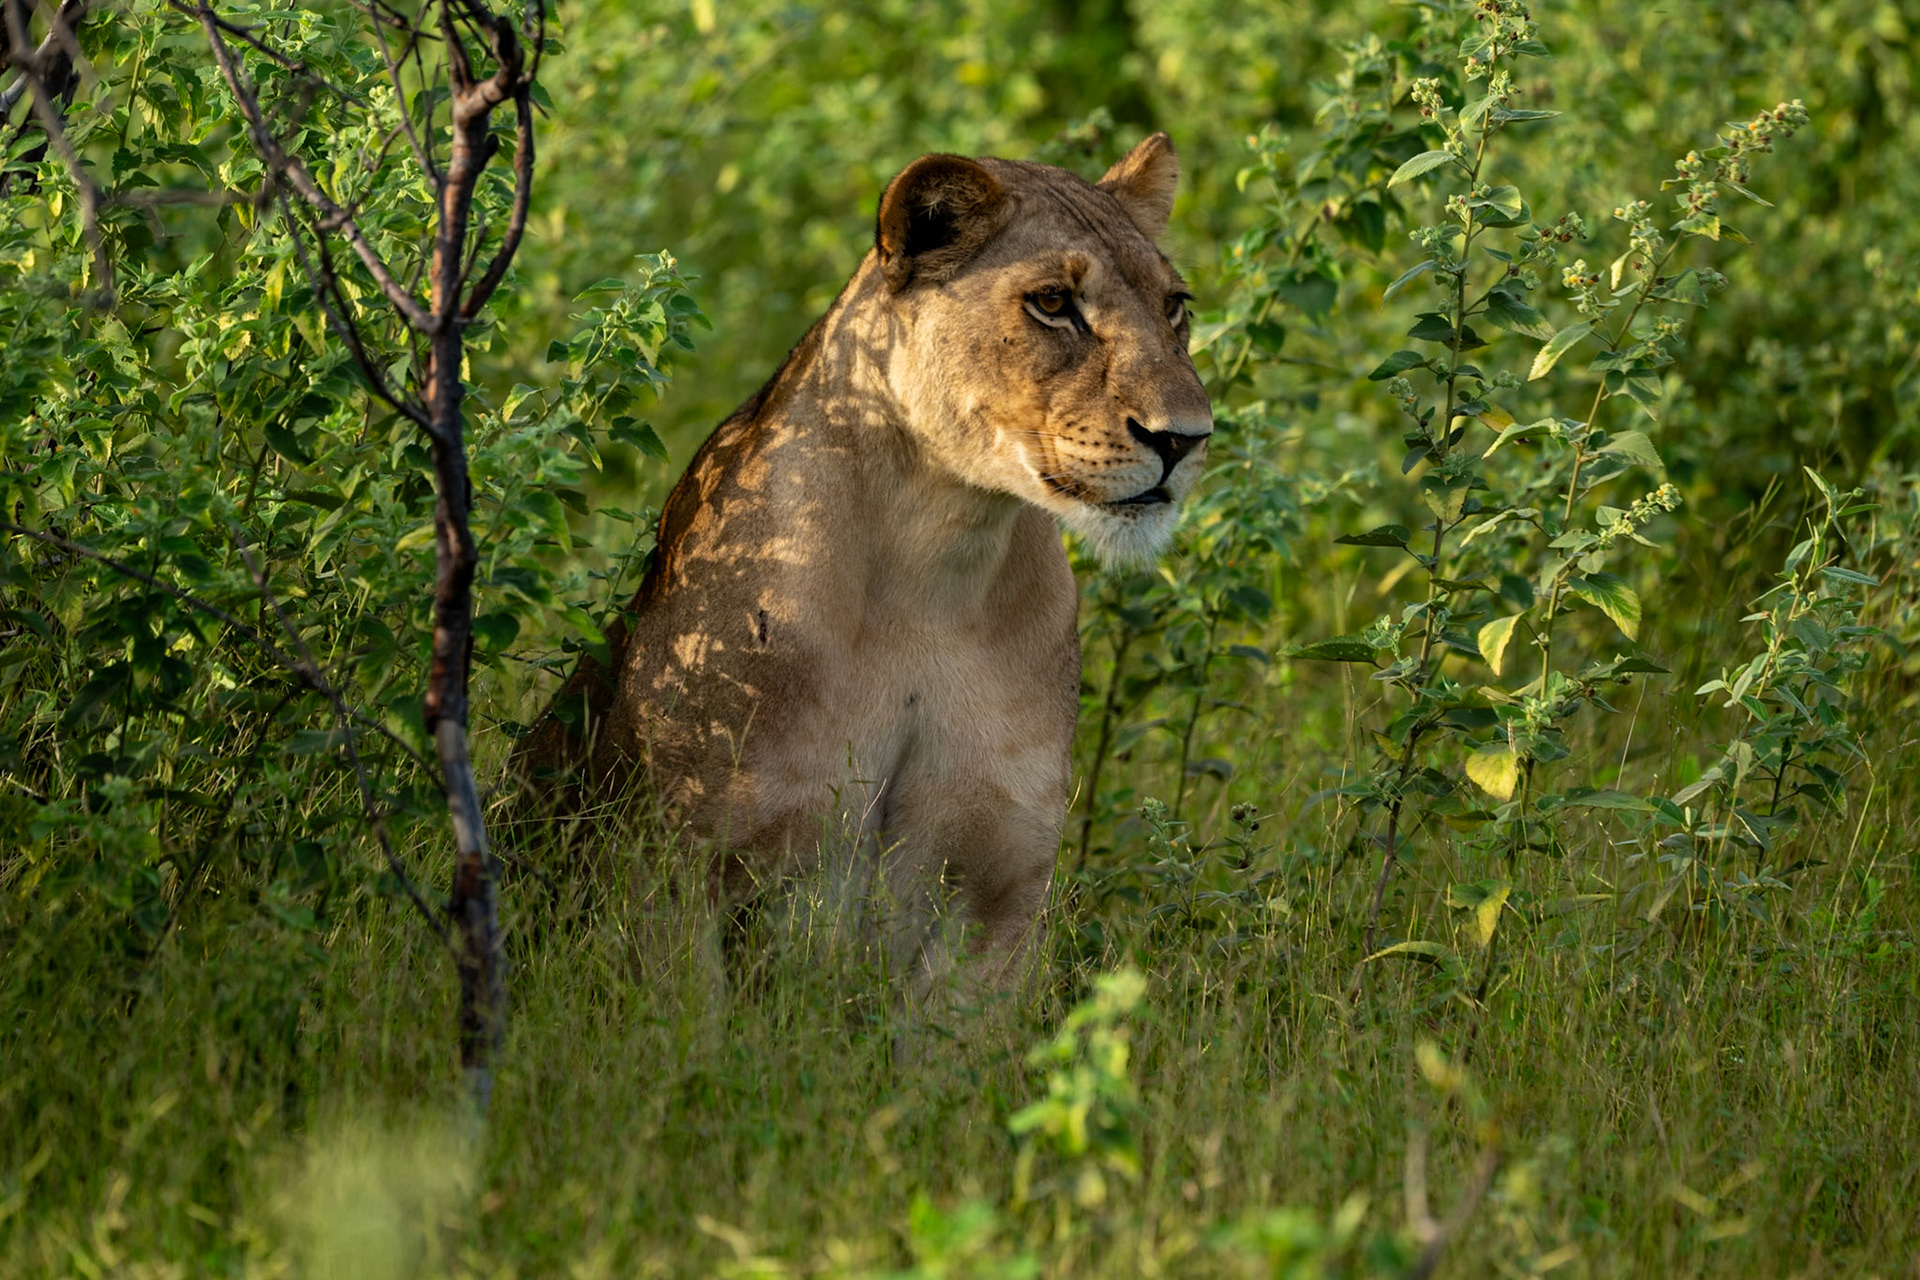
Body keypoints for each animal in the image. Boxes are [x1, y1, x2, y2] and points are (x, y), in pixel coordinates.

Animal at [511, 132, 1212, 989]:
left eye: (1174, 306)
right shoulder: (670, 866)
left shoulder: (999, 899)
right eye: (1052, 302)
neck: (938, 565)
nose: (1186, 438)